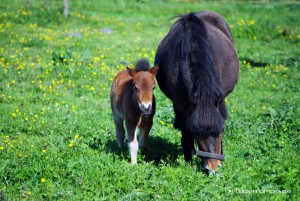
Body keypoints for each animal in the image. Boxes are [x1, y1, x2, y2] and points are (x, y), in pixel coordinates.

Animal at [155, 10, 239, 173]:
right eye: (196, 132)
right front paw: (188, 160)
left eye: (221, 130)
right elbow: (185, 130)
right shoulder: (180, 105)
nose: (213, 169)